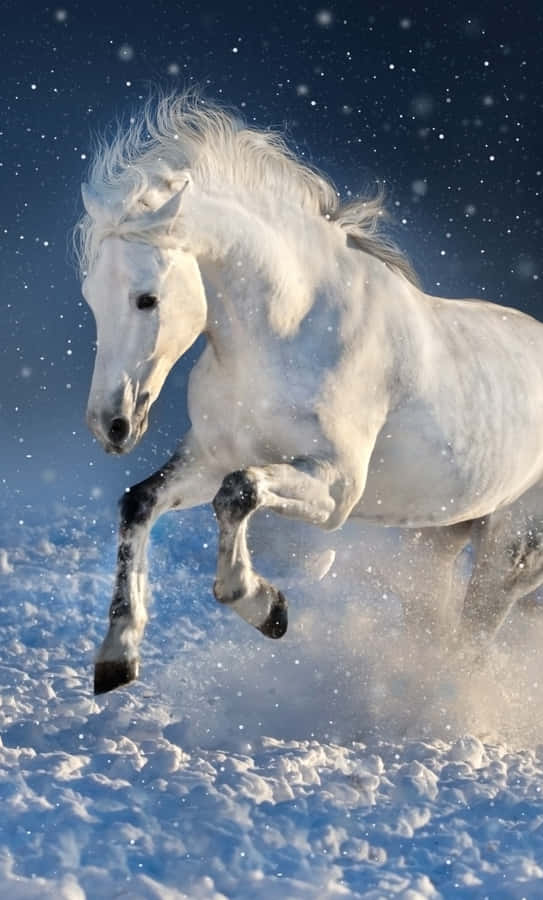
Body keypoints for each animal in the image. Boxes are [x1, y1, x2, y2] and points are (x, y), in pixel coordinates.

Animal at [76, 95, 543, 695]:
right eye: (91, 296)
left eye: (146, 298)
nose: (110, 424)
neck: (289, 332)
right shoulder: (209, 458)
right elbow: (140, 502)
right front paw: (118, 653)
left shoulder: (337, 488)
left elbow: (239, 493)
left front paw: (265, 605)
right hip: (436, 540)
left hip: (510, 555)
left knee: (471, 643)